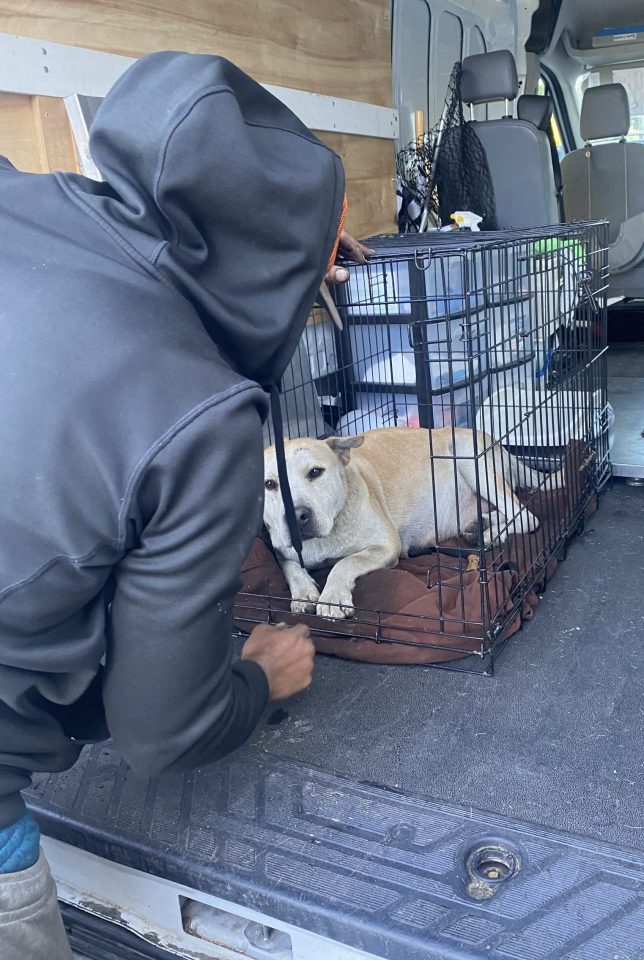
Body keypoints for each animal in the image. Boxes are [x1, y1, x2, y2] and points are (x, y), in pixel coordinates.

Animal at [264, 430, 560, 624]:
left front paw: (332, 596)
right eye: (269, 484)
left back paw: (490, 535)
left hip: (469, 457)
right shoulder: (281, 551)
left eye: (315, 472)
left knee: (526, 515)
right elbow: (289, 567)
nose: (296, 516)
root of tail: (496, 443)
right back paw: (481, 524)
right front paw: (303, 592)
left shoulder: (386, 546)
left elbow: (345, 563)